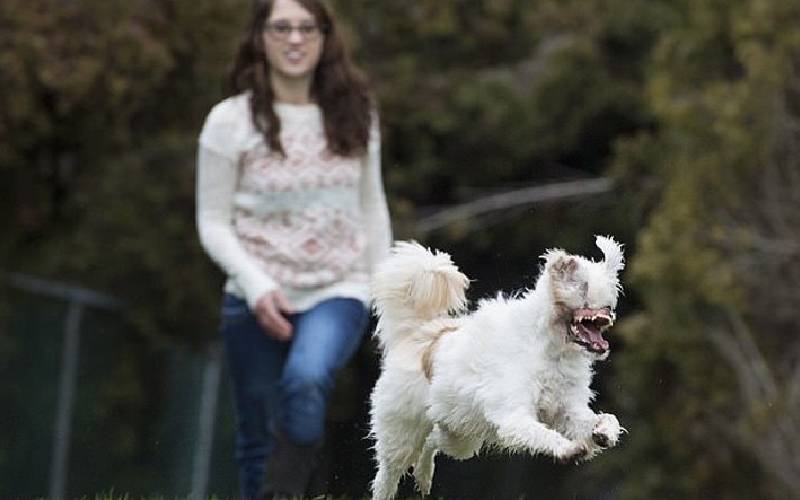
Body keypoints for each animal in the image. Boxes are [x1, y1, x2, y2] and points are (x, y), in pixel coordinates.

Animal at [368, 236, 624, 498]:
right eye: (584, 289)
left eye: (610, 295)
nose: (608, 312)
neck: (553, 350)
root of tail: (418, 334)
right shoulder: (514, 417)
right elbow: (542, 433)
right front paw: (568, 448)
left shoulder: (569, 410)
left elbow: (605, 419)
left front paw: (604, 432)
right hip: (401, 436)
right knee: (387, 475)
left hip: (460, 434)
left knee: (433, 441)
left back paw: (424, 475)